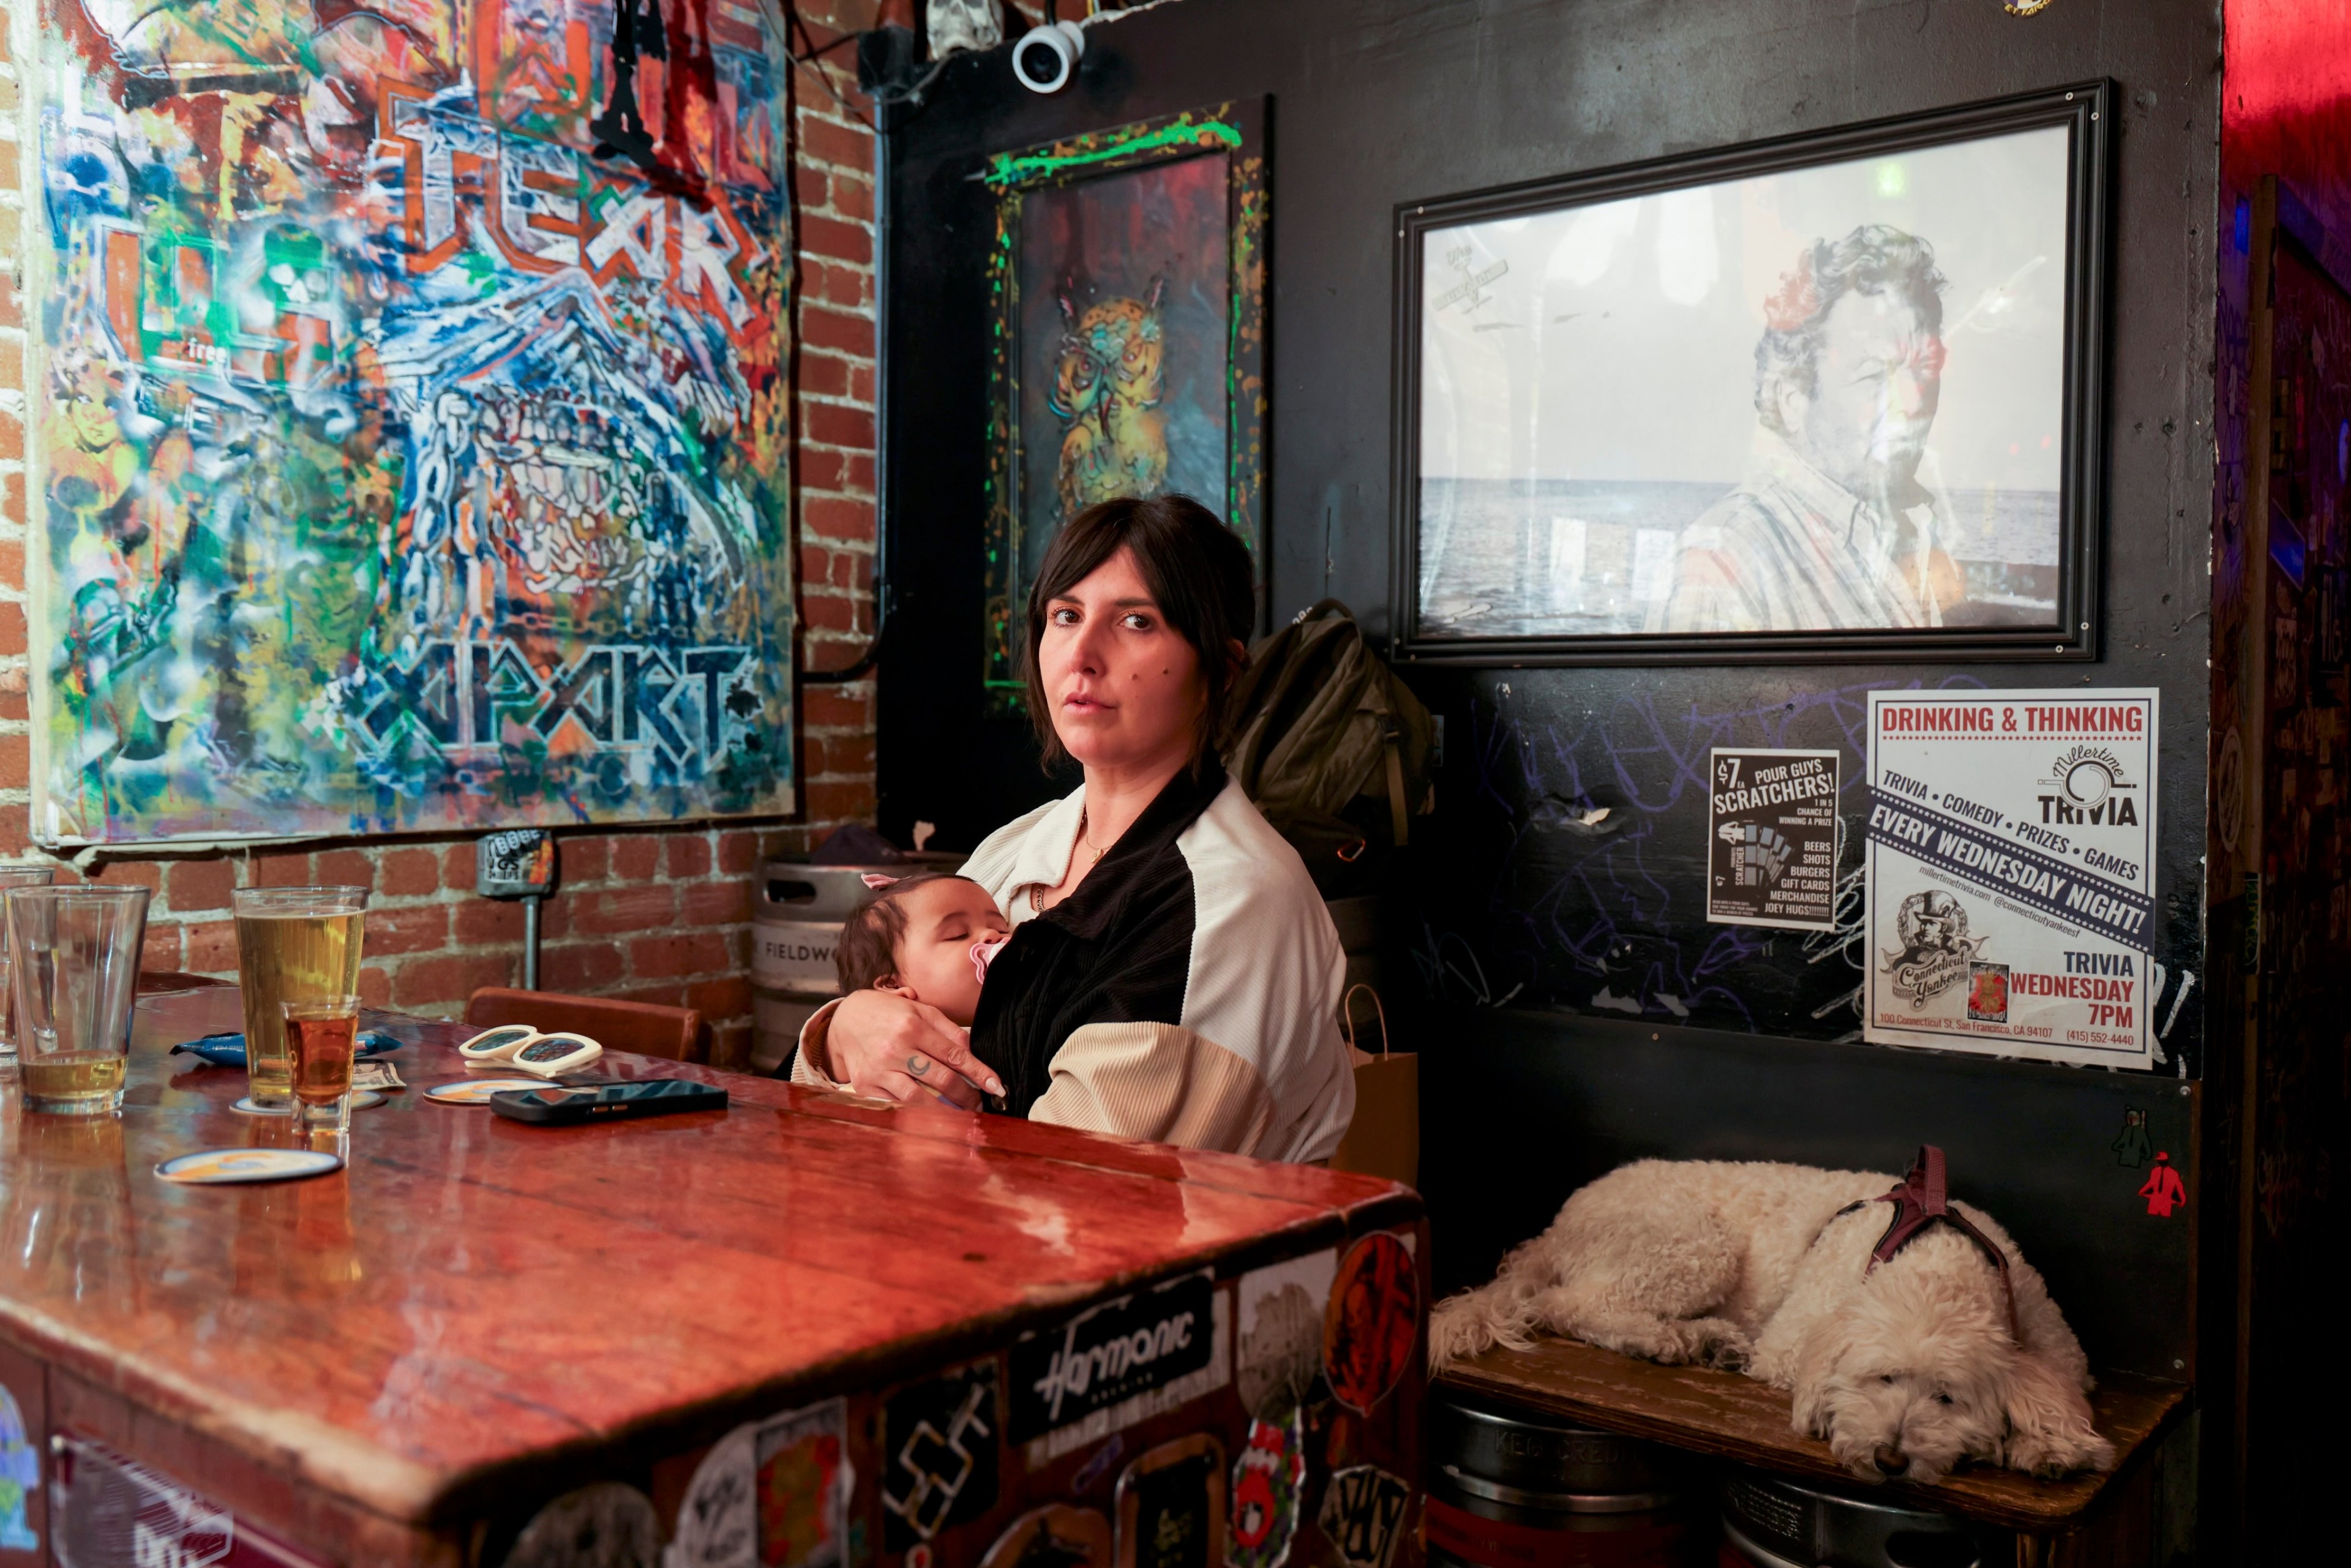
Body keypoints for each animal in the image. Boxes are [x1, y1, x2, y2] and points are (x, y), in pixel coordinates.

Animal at [1420, 1161, 2125, 1495]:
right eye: (1879, 1378)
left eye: (1946, 1397)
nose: (1890, 1458)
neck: (1932, 1258)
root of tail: (1561, 1222)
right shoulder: (1794, 1340)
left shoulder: (2049, 1333)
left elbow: (2055, 1388)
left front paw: (2050, 1445)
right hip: (1690, 1243)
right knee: (1567, 1304)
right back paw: (1664, 1338)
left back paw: (1712, 1341)